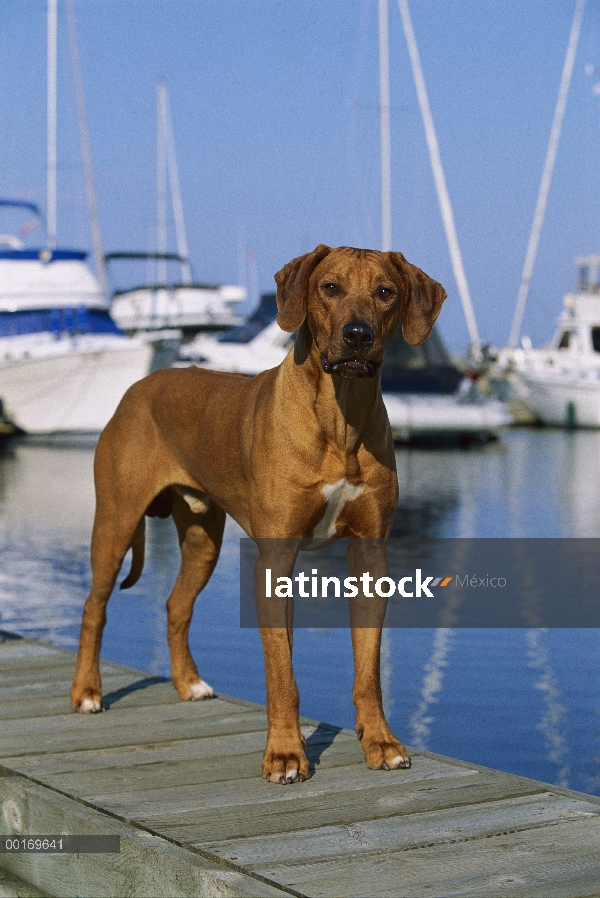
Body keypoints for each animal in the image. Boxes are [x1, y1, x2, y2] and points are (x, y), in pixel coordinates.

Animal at [70, 247, 446, 784]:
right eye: (329, 287)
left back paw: (189, 684)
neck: (339, 416)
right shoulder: (275, 559)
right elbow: (280, 672)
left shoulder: (371, 558)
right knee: (93, 607)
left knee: (176, 605)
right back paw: (87, 692)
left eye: (385, 292)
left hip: (203, 540)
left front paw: (380, 743)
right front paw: (286, 754)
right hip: (116, 521)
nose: (357, 335)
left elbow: (368, 669)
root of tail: (140, 385)